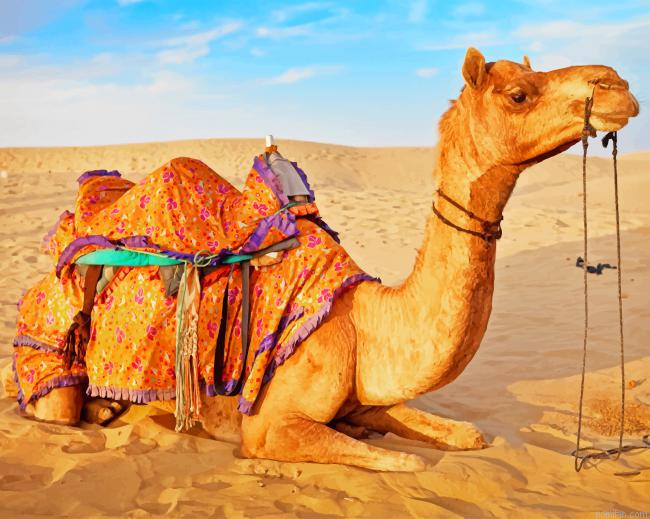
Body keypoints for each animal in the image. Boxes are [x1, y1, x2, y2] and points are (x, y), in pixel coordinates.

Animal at [4, 48, 639, 471]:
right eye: (518, 94)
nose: (617, 83)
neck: (364, 324)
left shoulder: (365, 399)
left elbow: (466, 436)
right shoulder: (268, 428)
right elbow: (407, 462)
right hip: (52, 357)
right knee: (55, 405)